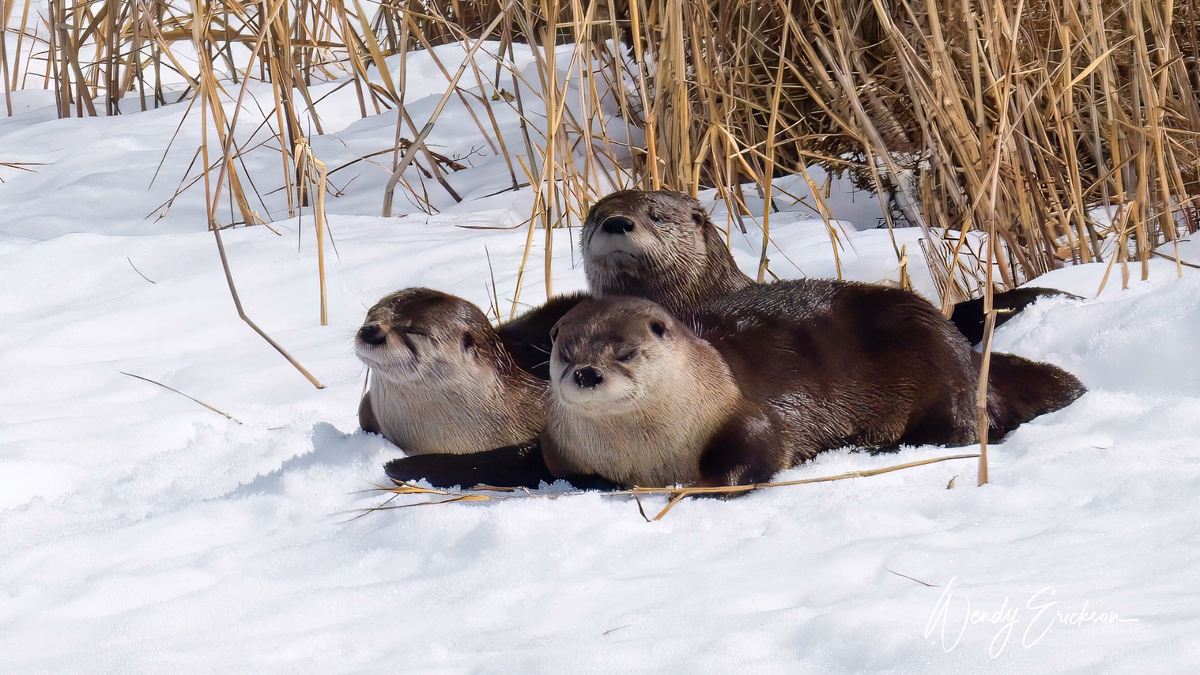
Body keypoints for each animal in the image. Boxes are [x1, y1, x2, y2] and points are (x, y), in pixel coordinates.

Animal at [384, 281, 1086, 489]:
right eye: (562, 351)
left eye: (624, 350)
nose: (585, 371)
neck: (646, 452)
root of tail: (969, 355)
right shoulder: (561, 448)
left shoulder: (745, 416)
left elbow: (754, 452)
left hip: (937, 366)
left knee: (965, 427)